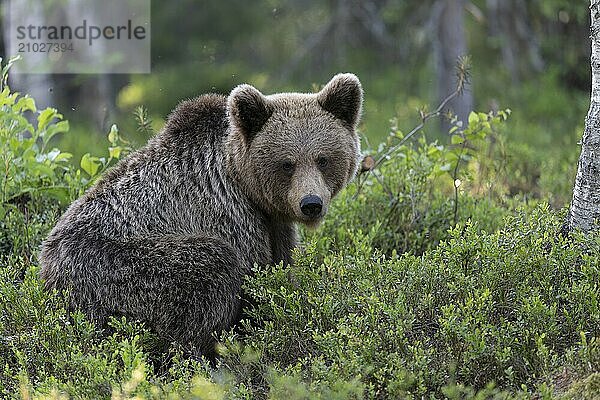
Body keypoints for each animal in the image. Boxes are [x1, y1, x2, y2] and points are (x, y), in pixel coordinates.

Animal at [41, 73, 366, 354]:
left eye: (323, 159)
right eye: (287, 163)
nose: (311, 203)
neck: (242, 182)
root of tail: (47, 275)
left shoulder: (274, 225)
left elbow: (281, 267)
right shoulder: (231, 217)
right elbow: (253, 285)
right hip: (117, 269)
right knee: (208, 268)